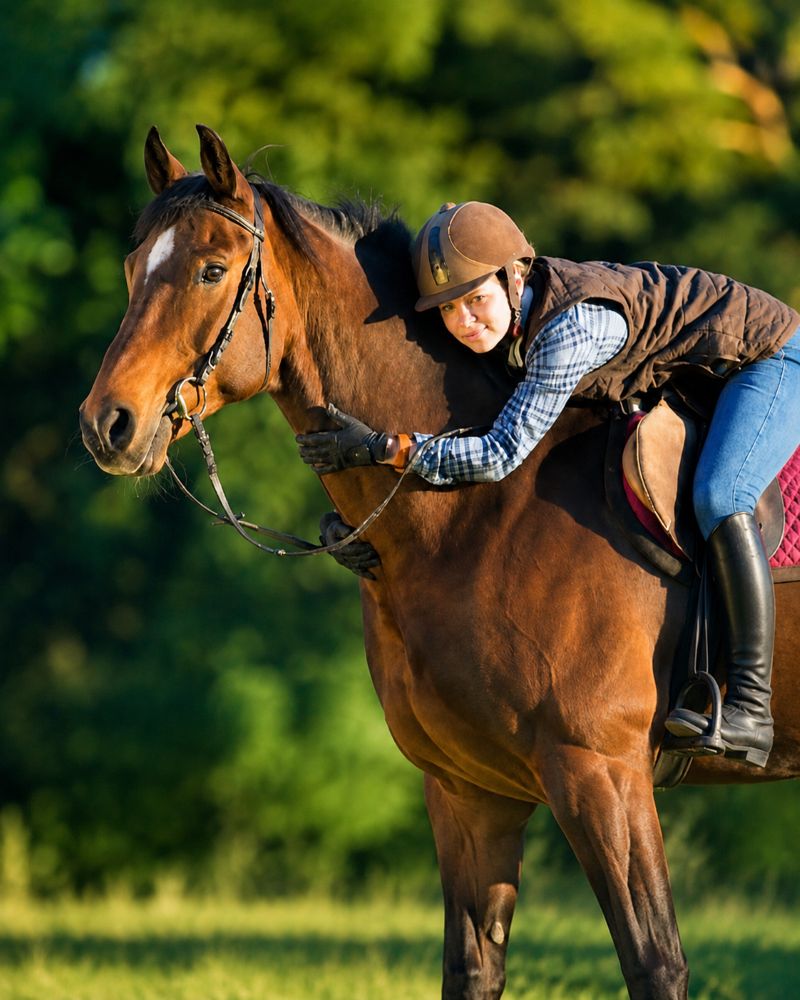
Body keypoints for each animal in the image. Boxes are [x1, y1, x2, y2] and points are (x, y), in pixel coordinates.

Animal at [79, 125, 800, 1000]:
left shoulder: (601, 773)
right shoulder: (467, 789)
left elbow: (654, 963)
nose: (107, 424)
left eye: (211, 270)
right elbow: (472, 968)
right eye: (132, 269)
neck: (478, 514)